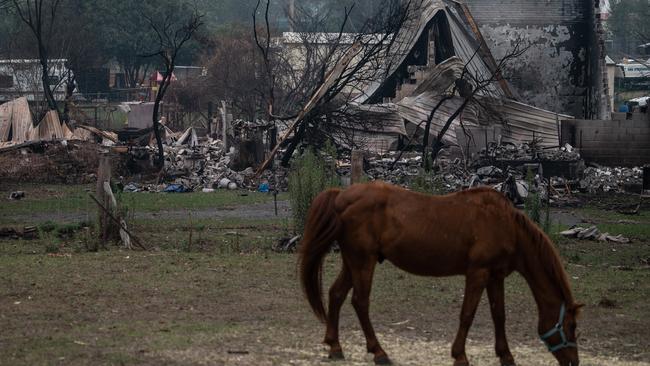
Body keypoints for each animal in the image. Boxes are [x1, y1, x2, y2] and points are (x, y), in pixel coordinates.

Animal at [296, 182, 580, 366]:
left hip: (352, 262)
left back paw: (335, 346)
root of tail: (341, 196)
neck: (505, 223)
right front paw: (460, 356)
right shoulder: (478, 273)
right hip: (363, 262)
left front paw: (506, 356)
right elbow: (467, 315)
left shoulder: (495, 277)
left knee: (336, 294)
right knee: (360, 302)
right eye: (572, 326)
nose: (573, 362)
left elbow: (499, 315)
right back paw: (379, 352)